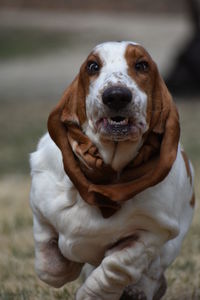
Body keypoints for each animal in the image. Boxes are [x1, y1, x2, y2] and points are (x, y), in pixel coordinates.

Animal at [30, 41, 195, 298]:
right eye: (92, 66)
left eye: (142, 65)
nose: (116, 96)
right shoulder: (40, 206)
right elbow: (51, 267)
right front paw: (67, 265)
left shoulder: (152, 232)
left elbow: (116, 267)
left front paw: (92, 294)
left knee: (153, 271)